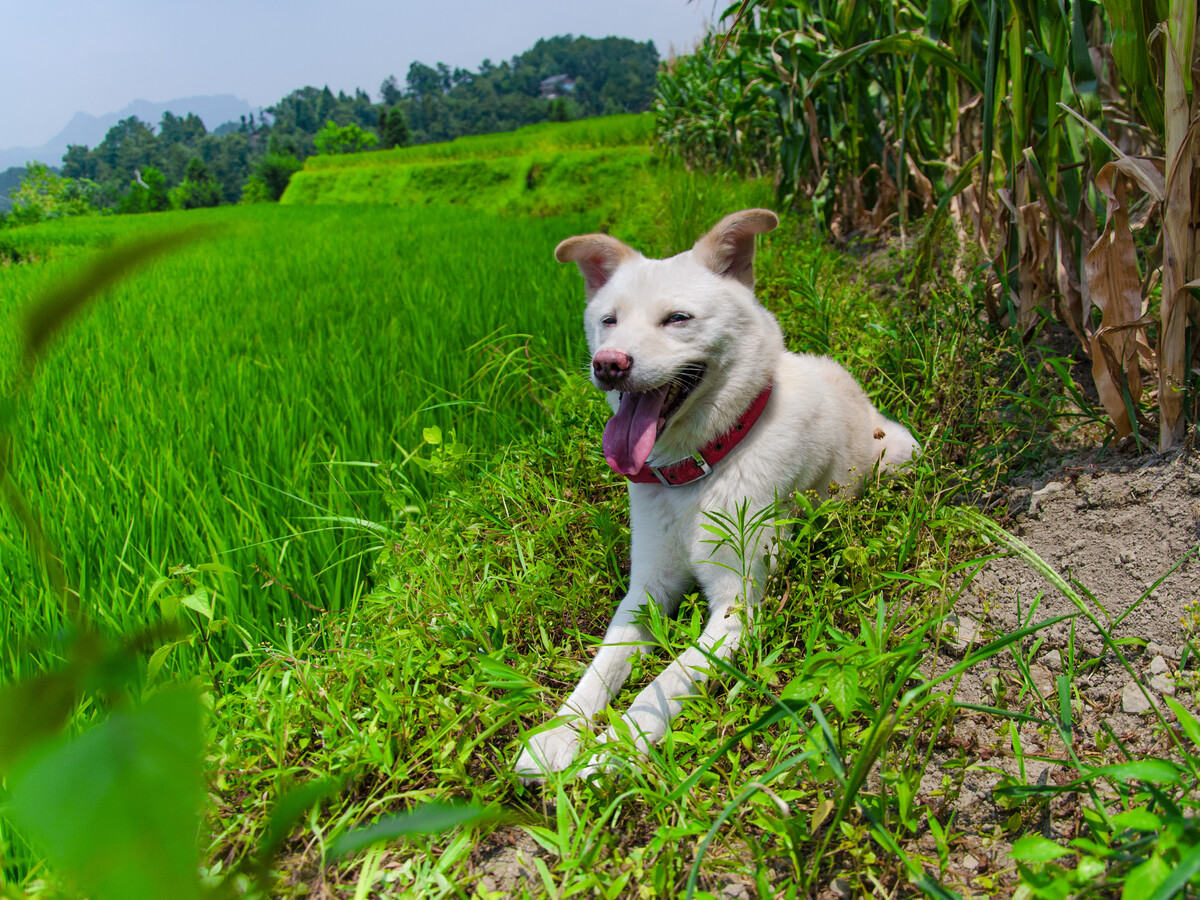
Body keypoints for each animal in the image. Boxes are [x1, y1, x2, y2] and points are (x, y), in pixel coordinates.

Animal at [516, 207, 916, 777]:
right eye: (609, 320)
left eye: (677, 319)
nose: (609, 363)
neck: (698, 471)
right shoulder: (646, 593)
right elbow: (602, 667)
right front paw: (557, 734)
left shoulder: (735, 609)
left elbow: (663, 685)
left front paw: (615, 751)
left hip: (901, 453)